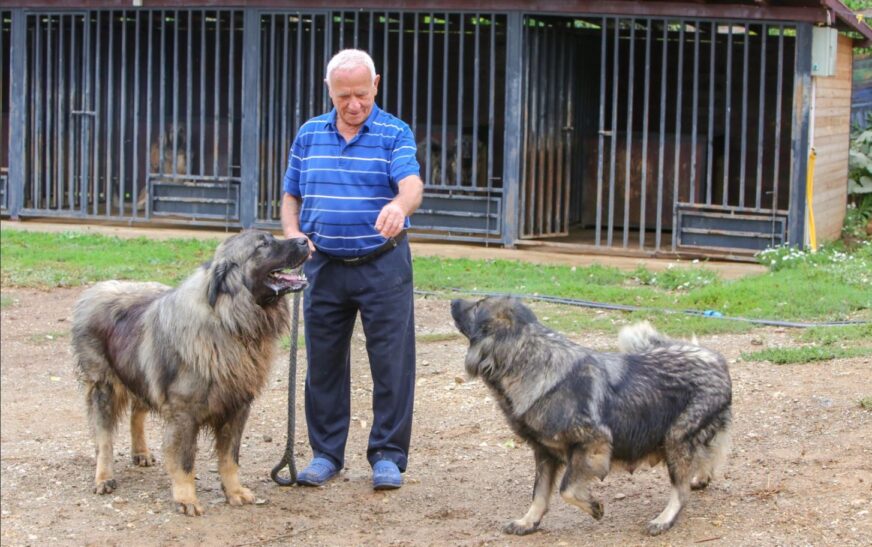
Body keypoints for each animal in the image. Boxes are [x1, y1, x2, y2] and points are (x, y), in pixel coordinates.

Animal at [71, 231, 310, 520]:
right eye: (263, 244)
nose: (305, 240)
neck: (229, 322)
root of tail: (95, 289)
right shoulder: (184, 414)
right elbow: (185, 461)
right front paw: (186, 499)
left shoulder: (237, 408)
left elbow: (230, 458)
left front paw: (234, 491)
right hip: (104, 385)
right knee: (104, 438)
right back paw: (104, 477)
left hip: (142, 375)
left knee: (137, 413)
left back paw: (141, 452)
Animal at [450, 298, 728, 536]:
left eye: (477, 306)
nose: (453, 301)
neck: (530, 363)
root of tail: (715, 358)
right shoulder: (544, 452)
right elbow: (539, 493)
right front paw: (528, 522)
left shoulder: (592, 443)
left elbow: (567, 489)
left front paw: (594, 507)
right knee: (712, 451)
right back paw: (701, 477)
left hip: (675, 438)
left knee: (681, 489)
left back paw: (664, 519)